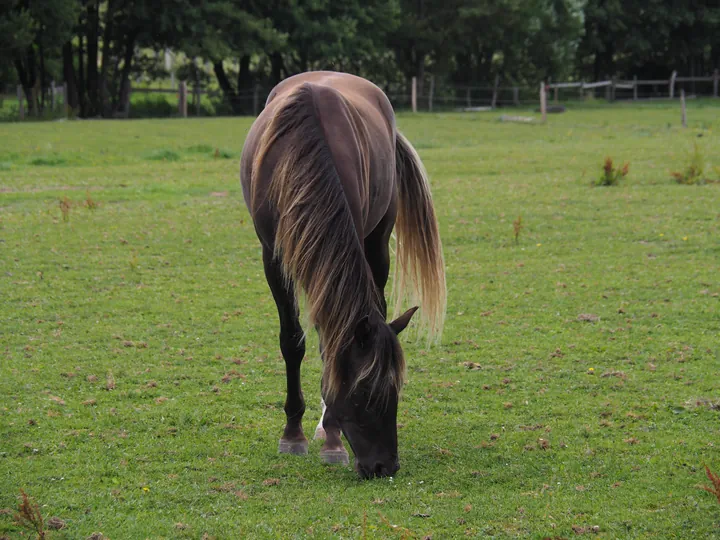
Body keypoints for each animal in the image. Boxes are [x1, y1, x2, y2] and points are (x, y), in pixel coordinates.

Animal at [242, 71, 444, 480]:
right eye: (365, 393)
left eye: (397, 389)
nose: (385, 466)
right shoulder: (273, 258)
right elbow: (293, 341)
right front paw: (293, 435)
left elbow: (328, 345)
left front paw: (332, 439)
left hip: (377, 241)